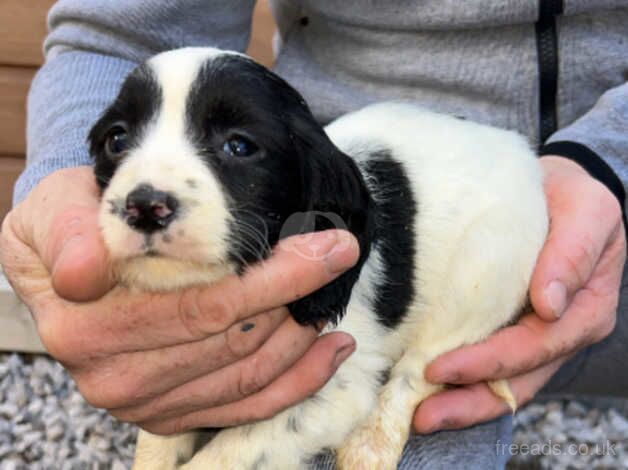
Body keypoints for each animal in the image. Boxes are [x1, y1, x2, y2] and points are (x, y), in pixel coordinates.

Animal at [91, 48, 548, 470]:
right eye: (117, 140)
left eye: (239, 145)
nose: (145, 207)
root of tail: (520, 150)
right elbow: (159, 442)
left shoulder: (338, 382)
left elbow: (225, 456)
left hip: (484, 271)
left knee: (420, 368)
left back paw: (368, 447)